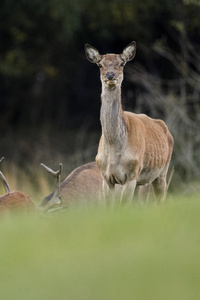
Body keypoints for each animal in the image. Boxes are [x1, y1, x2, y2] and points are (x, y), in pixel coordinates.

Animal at [84, 41, 173, 203]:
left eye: (122, 63)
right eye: (100, 64)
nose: (110, 75)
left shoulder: (131, 175)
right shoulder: (106, 177)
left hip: (162, 171)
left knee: (162, 195)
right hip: (140, 181)